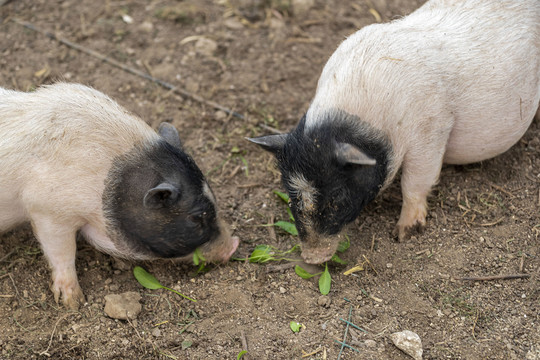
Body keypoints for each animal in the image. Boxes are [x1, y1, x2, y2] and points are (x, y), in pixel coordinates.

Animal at [250, 0, 540, 264]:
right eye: (291, 197)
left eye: (337, 197)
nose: (311, 259)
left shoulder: (432, 129)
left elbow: (414, 183)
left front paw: (403, 234)